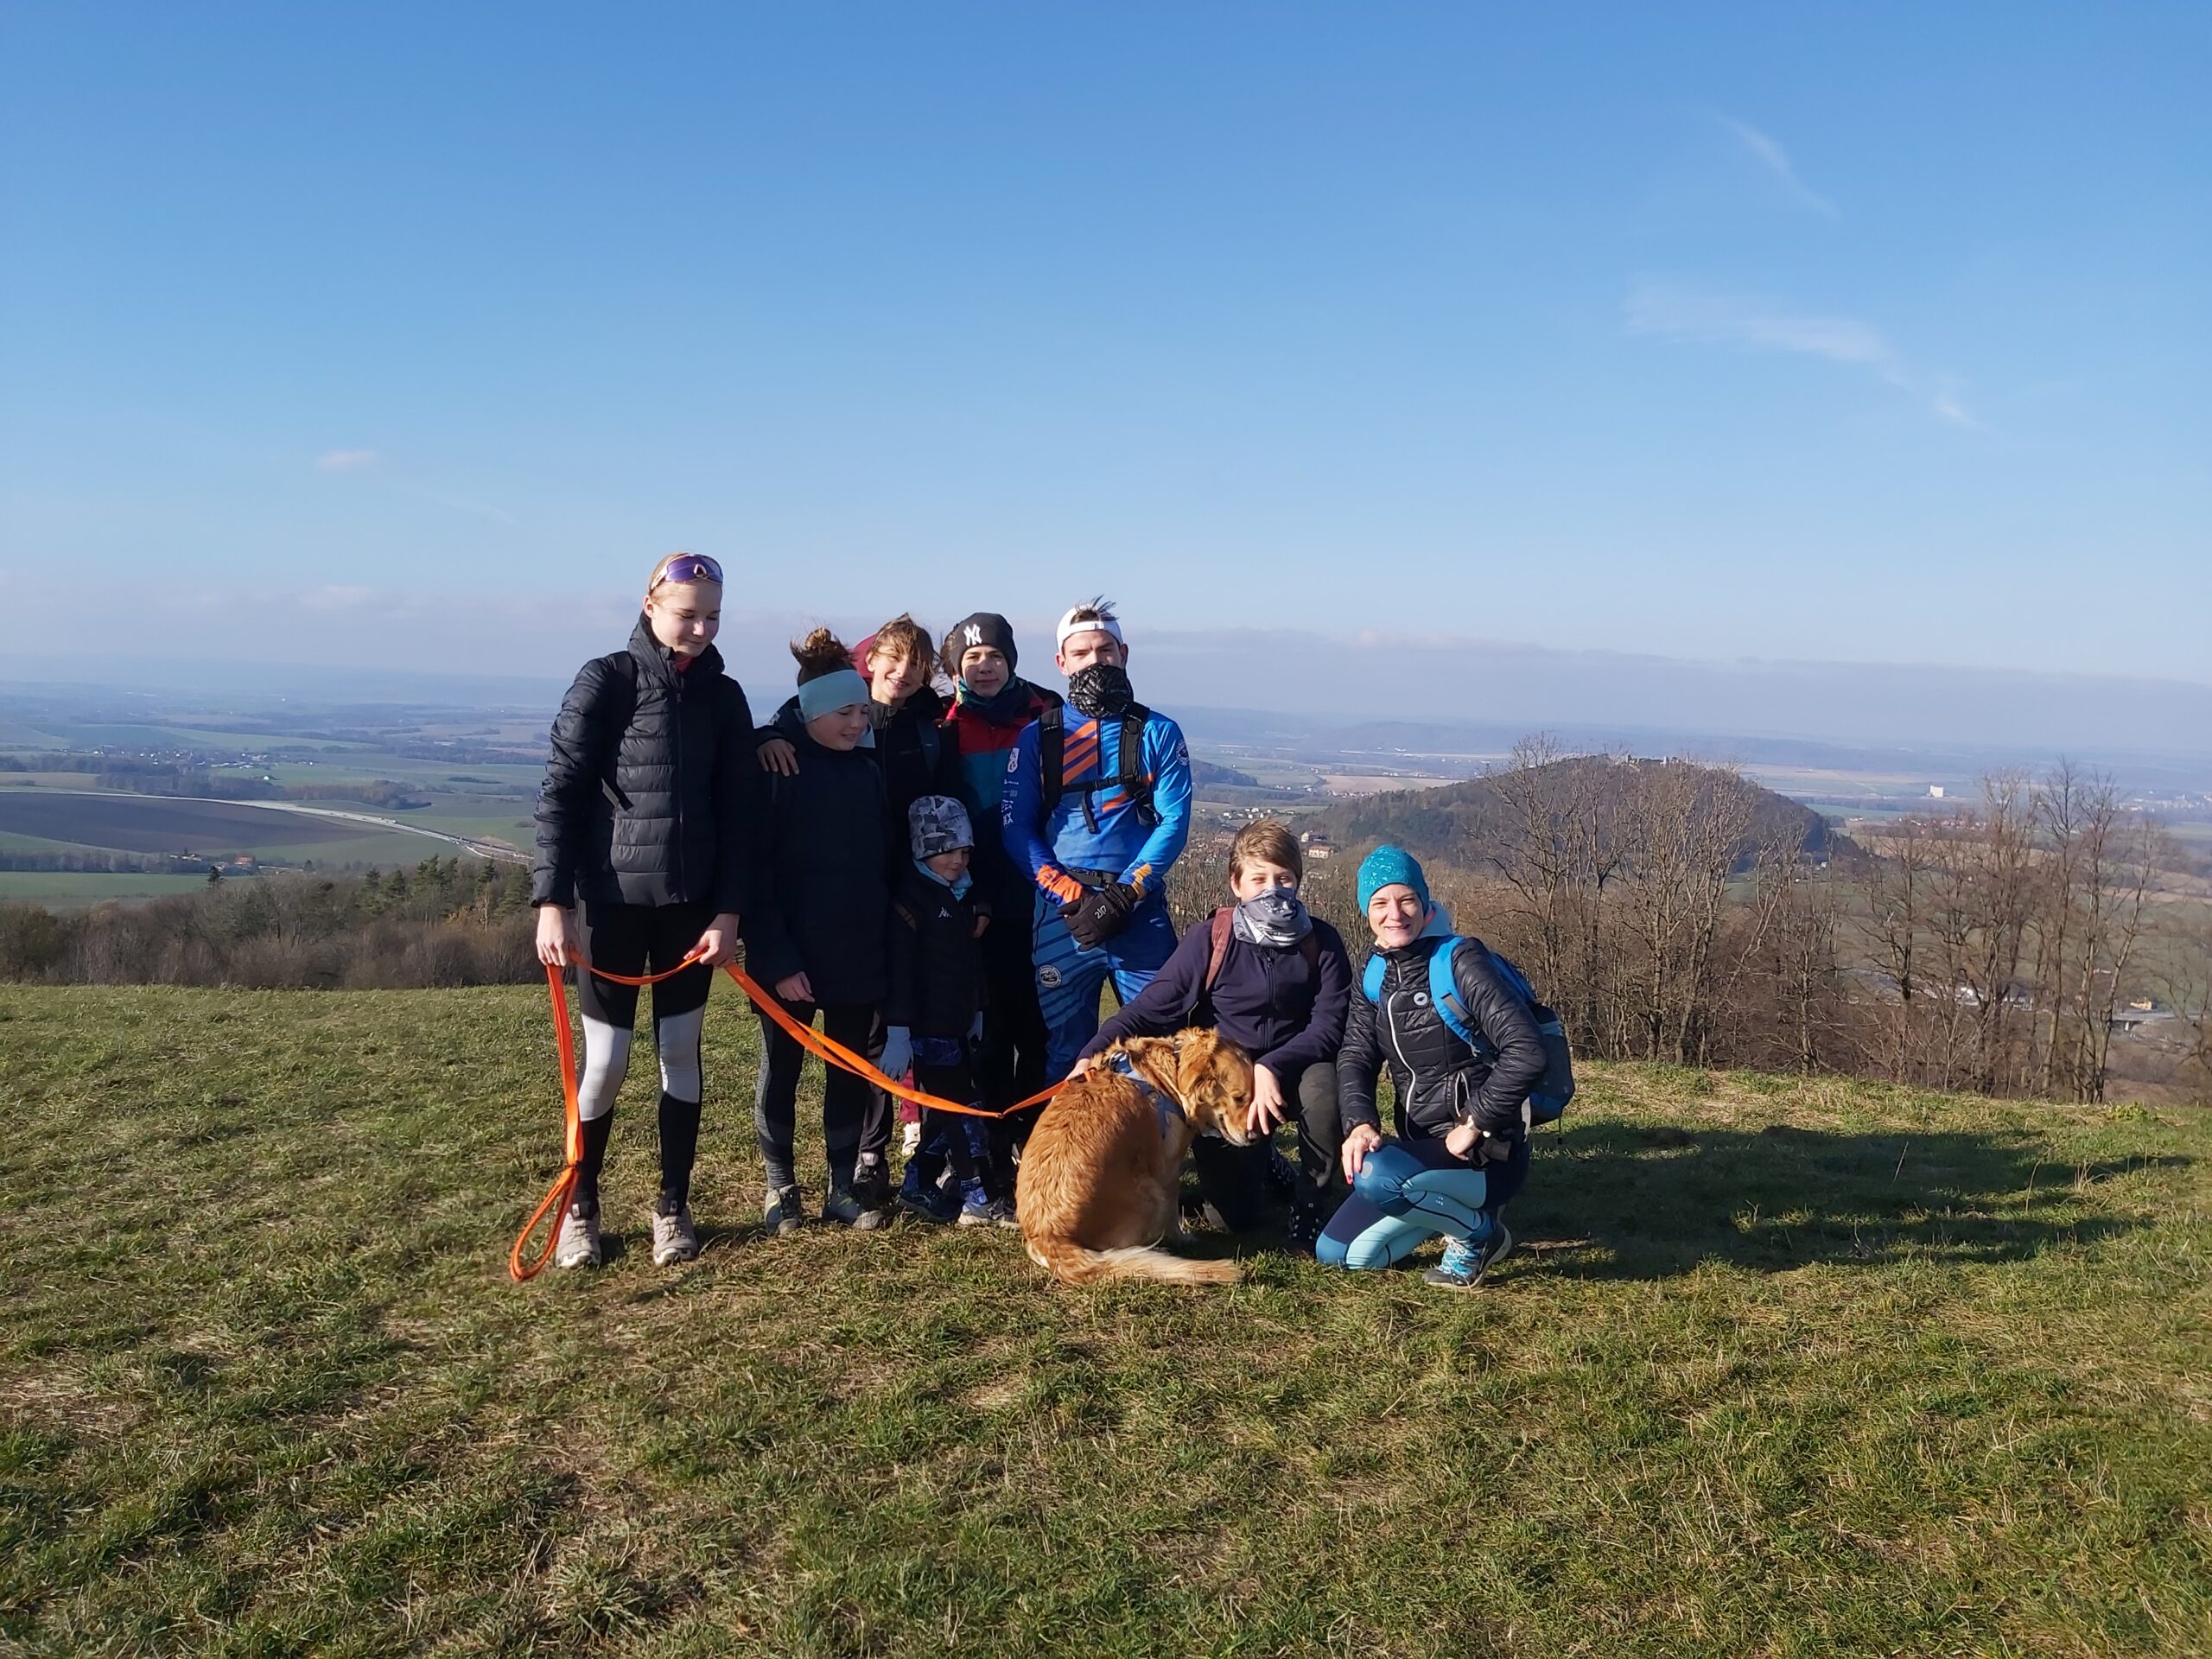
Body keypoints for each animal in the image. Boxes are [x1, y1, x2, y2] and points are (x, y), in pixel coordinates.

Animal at [1016, 1028, 1255, 1286]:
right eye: (1239, 1097)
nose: (1254, 1136)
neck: (1168, 1077)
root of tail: (1050, 1240)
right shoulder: (1169, 1170)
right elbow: (1172, 1214)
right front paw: (1181, 1238)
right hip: (1150, 1192)